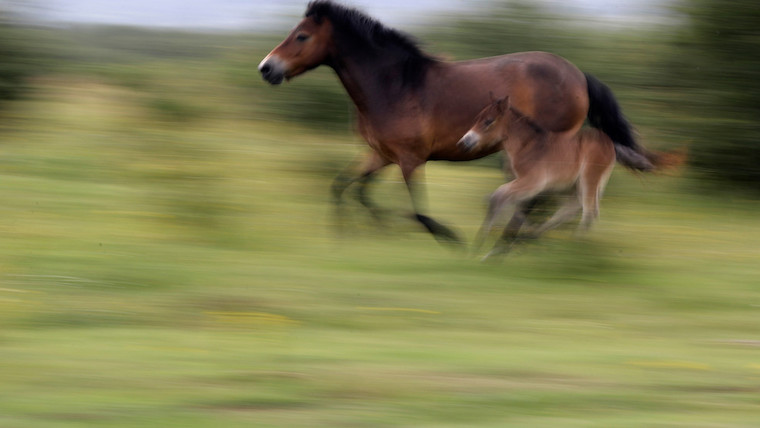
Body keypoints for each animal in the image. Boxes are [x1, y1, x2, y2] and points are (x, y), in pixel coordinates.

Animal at [258, 0, 648, 245]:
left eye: (302, 36)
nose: (266, 68)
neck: (394, 85)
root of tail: (579, 75)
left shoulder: (410, 159)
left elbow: (417, 213)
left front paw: (452, 238)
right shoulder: (381, 154)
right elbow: (346, 188)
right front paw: (351, 234)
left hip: (547, 153)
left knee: (542, 200)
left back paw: (517, 241)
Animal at [457, 96, 662, 259]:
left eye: (488, 121)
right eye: (477, 118)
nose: (464, 142)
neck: (527, 146)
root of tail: (611, 143)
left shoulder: (532, 183)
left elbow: (497, 196)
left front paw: (482, 243)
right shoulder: (525, 185)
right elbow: (507, 203)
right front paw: (497, 245)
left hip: (589, 179)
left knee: (589, 212)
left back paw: (574, 250)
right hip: (572, 186)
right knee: (571, 209)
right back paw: (536, 237)